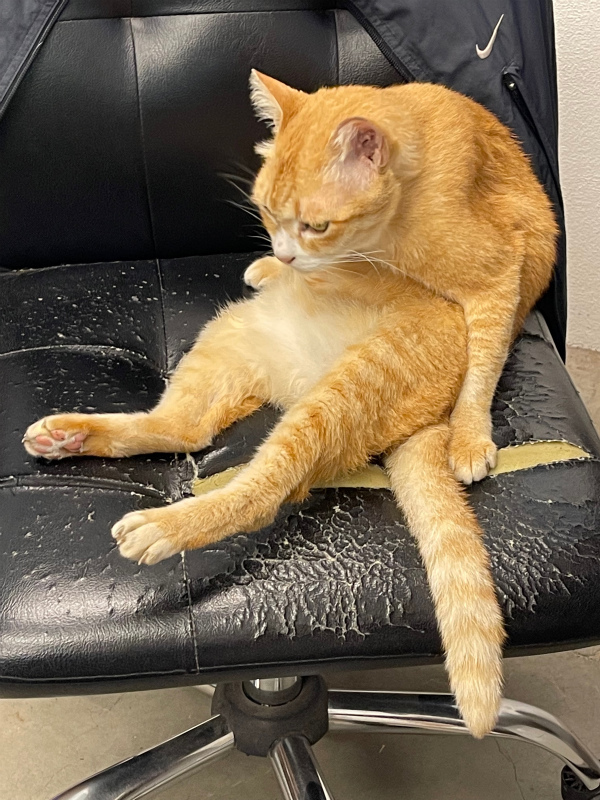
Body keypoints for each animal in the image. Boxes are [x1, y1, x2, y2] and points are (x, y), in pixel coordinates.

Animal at [21, 71, 511, 738]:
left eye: (315, 226)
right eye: (267, 213)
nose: (284, 257)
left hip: (344, 389)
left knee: (262, 489)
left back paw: (165, 526)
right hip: (227, 338)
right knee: (183, 427)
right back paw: (71, 436)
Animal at [246, 71, 558, 485]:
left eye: (317, 226)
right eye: (266, 209)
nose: (283, 254)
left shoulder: (499, 277)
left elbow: (482, 366)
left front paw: (469, 437)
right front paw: (276, 265)